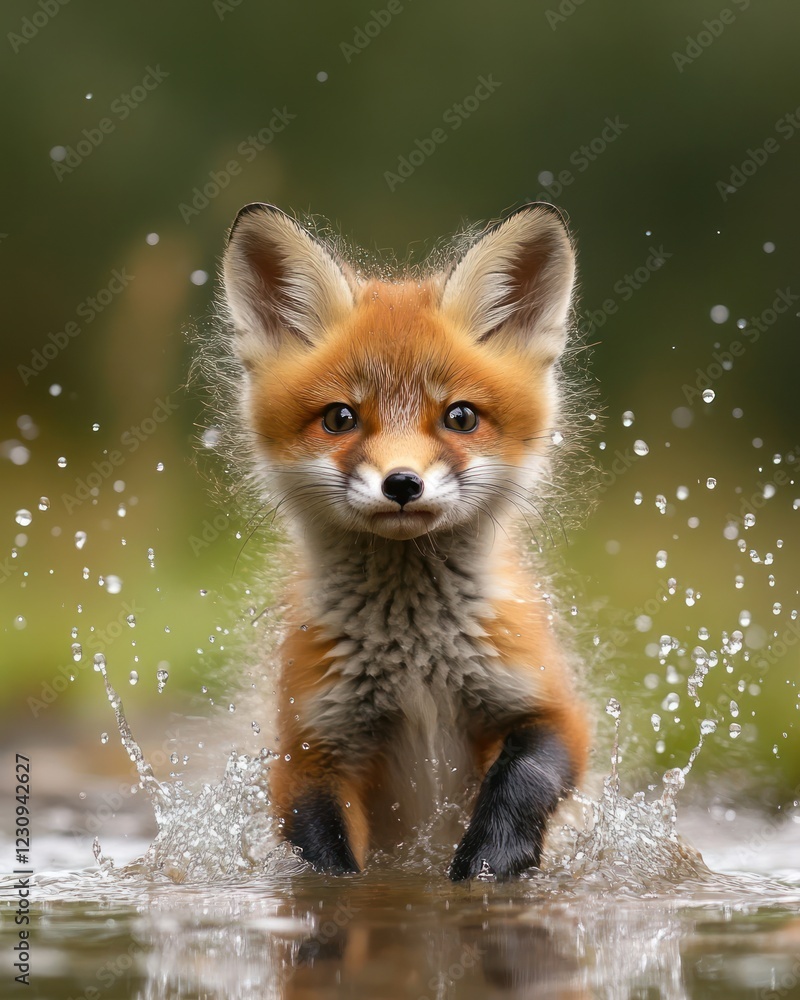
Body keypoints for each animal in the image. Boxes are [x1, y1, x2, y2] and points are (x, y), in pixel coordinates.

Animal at [220, 202, 591, 880]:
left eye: (460, 417)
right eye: (340, 418)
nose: (401, 483)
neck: (416, 658)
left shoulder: (550, 707)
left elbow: (525, 777)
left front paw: (488, 865)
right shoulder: (309, 749)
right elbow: (328, 858)